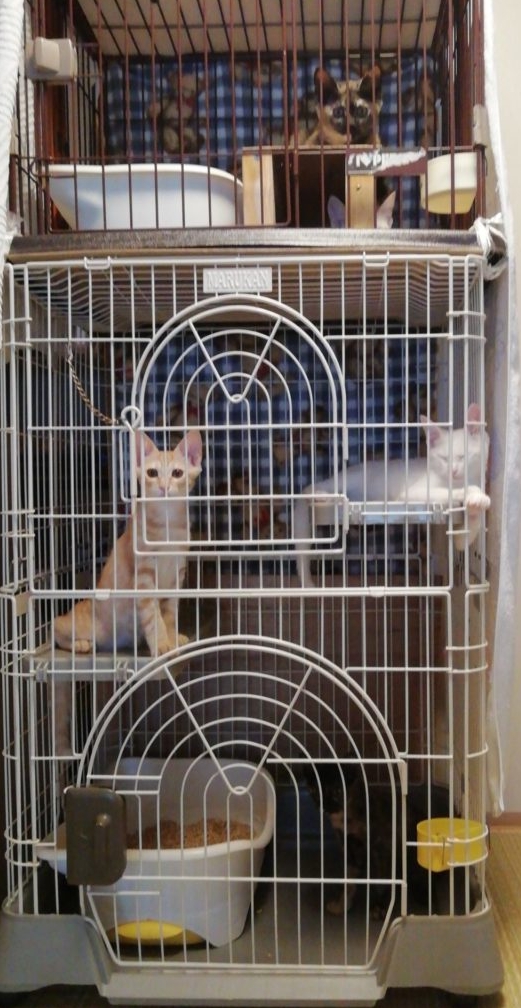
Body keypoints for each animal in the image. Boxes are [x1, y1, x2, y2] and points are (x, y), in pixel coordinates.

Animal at [294, 404, 490, 587]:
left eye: (463, 456)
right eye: (443, 458)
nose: (453, 471)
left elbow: (461, 541)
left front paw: (475, 506)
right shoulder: (413, 492)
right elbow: (446, 491)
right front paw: (470, 491)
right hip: (351, 478)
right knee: (313, 487)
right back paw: (322, 495)